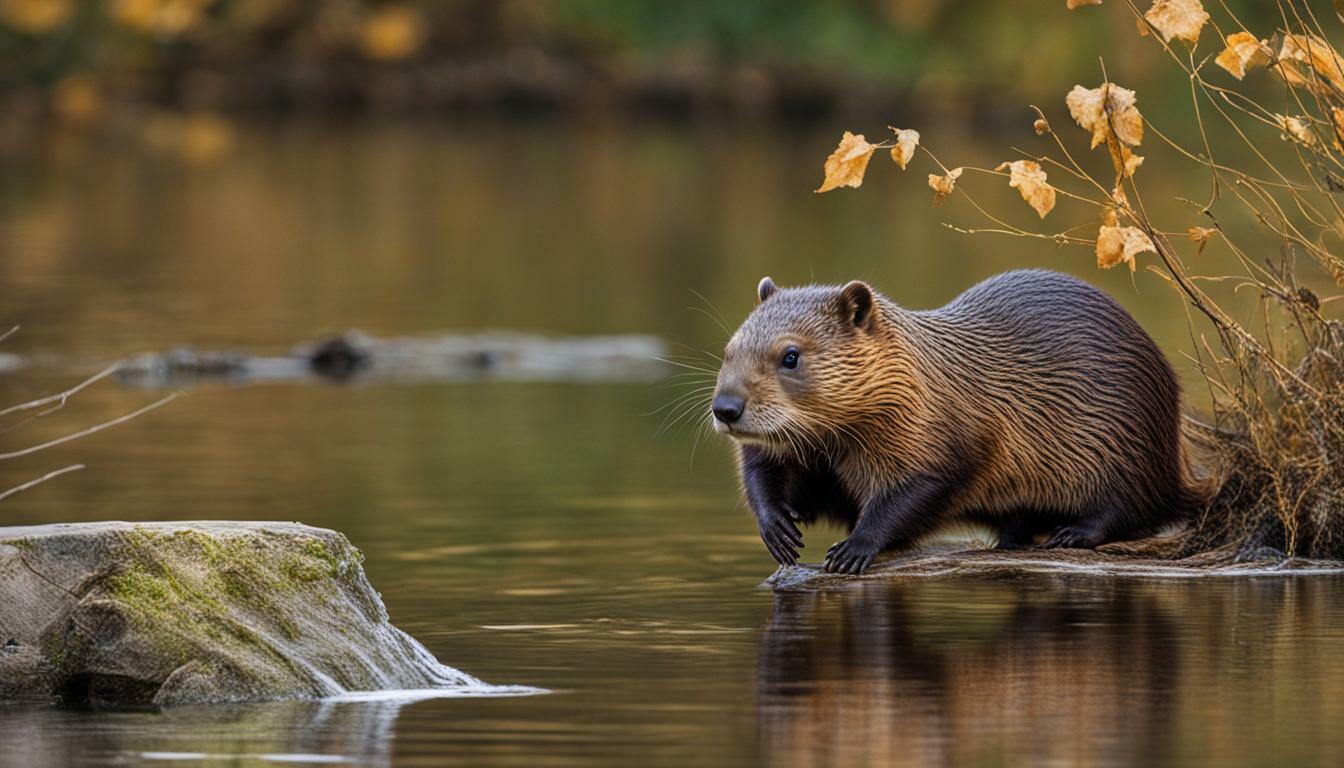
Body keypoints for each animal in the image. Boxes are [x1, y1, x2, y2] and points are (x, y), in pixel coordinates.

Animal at [715, 267, 1209, 572]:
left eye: (790, 355)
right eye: (729, 349)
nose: (726, 408)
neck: (923, 373)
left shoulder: (944, 433)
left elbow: (918, 491)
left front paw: (852, 550)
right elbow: (774, 473)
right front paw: (778, 529)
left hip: (1134, 452)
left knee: (1135, 507)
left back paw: (1071, 533)